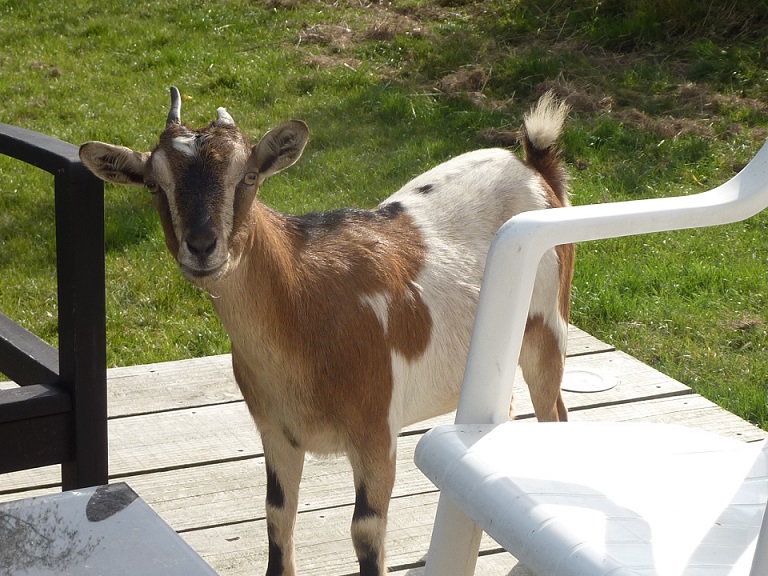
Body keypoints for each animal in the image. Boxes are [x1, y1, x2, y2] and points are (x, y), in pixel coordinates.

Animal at [79, 88, 574, 576]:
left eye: (249, 176)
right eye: (153, 184)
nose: (201, 247)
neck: (303, 308)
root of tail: (534, 167)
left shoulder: (376, 434)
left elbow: (365, 532)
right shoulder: (276, 432)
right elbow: (277, 515)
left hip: (547, 330)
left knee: (555, 413)